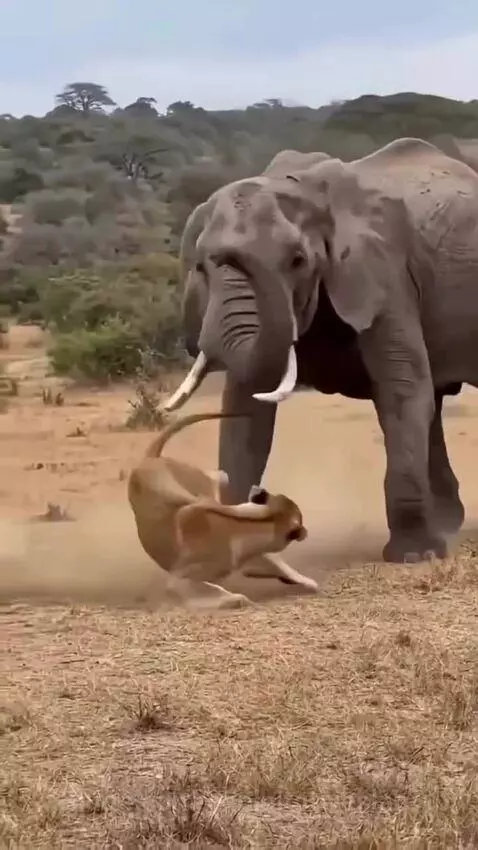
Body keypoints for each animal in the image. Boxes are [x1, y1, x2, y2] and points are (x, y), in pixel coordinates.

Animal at [162, 138, 478, 563]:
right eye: (200, 266)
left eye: (298, 260)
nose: (230, 252)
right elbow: (247, 411)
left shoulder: (384, 276)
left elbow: (401, 390)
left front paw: (414, 556)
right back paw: (448, 523)